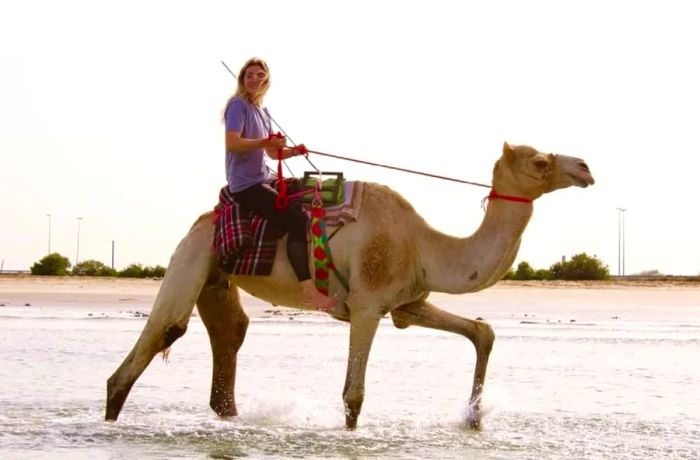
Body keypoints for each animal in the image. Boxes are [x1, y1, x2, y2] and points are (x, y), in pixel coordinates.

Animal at [106, 143, 592, 428]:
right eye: (540, 161)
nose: (586, 167)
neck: (424, 246)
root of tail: (202, 220)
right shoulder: (366, 305)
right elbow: (353, 396)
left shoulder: (408, 304)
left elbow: (482, 331)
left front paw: (473, 419)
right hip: (191, 260)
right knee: (158, 338)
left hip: (217, 279)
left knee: (229, 338)